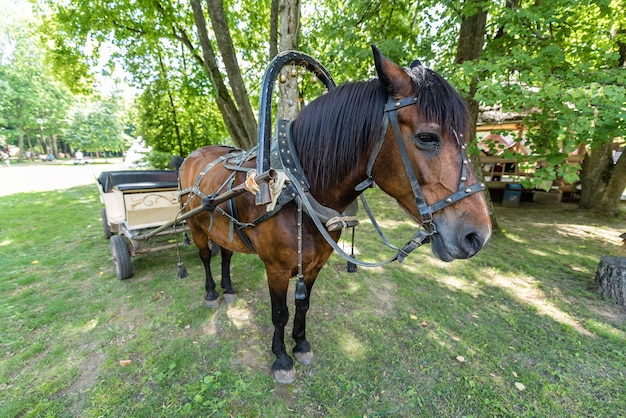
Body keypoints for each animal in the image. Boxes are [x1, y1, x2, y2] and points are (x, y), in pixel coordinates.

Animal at [178, 46, 490, 382]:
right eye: (427, 137)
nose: (478, 236)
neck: (298, 188)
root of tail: (193, 156)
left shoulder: (316, 264)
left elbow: (303, 306)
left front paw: (301, 344)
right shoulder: (276, 268)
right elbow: (280, 313)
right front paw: (281, 358)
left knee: (225, 253)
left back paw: (228, 288)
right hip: (195, 225)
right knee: (206, 256)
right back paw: (212, 292)